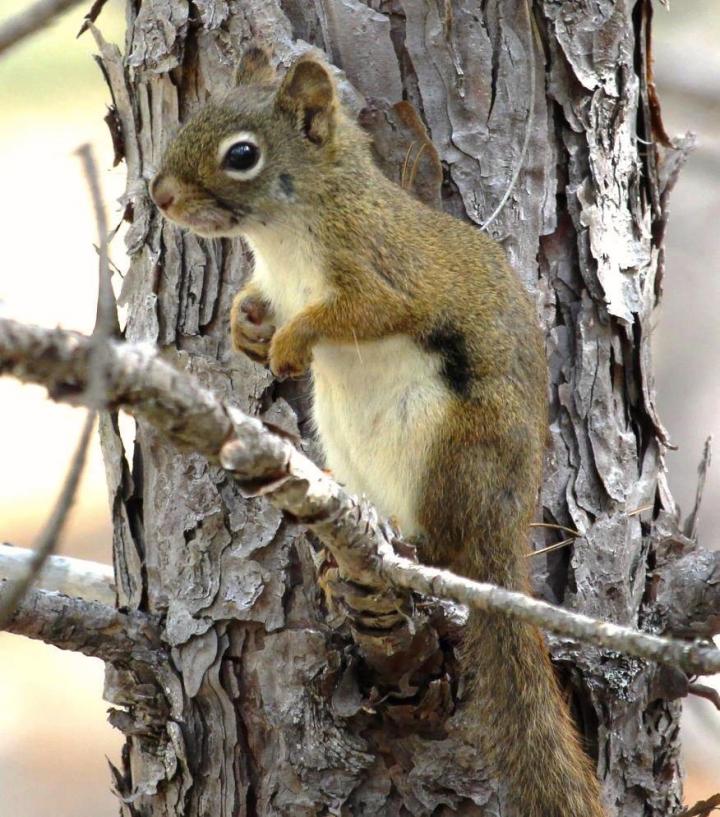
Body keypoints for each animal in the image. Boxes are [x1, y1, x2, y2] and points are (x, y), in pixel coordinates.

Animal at [150, 45, 606, 817]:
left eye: (241, 154)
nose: (160, 196)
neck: (287, 234)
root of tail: (506, 531)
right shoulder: (274, 277)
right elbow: (257, 301)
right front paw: (248, 328)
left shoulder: (382, 270)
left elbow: (357, 313)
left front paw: (289, 342)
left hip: (450, 452)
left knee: (447, 545)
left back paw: (413, 547)